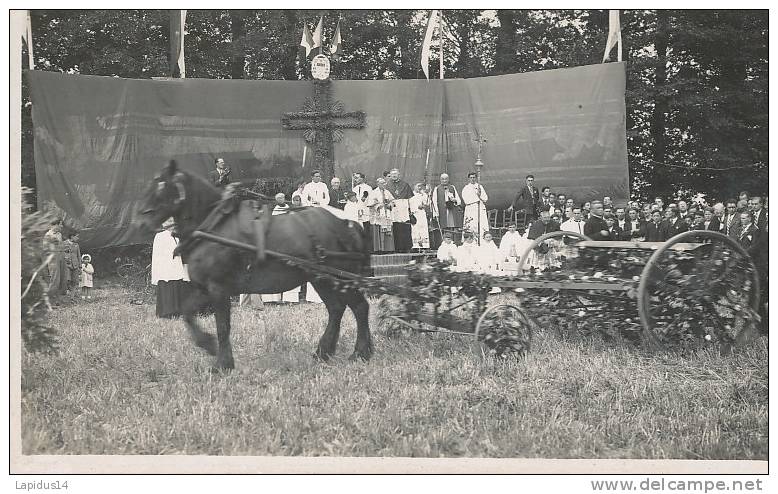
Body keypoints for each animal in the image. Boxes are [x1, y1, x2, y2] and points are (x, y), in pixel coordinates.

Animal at [136, 160, 372, 368]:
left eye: (160, 184)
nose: (139, 220)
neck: (213, 226)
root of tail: (349, 224)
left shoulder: (218, 288)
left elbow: (223, 326)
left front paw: (222, 363)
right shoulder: (204, 288)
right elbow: (187, 313)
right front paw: (209, 345)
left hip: (340, 277)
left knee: (360, 307)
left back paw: (360, 352)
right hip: (322, 279)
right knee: (336, 309)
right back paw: (324, 352)